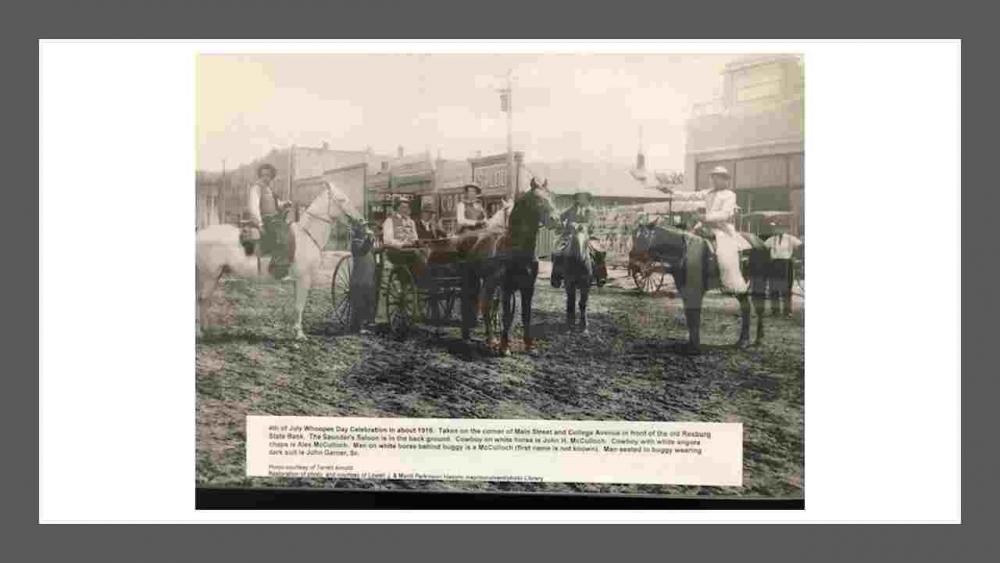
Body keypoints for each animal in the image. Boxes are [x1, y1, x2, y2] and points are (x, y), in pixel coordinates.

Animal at [195, 182, 364, 340]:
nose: (361, 221)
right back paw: (200, 332)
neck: (307, 235)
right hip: (208, 276)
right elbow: (300, 306)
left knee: (205, 300)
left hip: (214, 276)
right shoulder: (304, 279)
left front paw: (295, 331)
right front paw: (300, 334)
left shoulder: (298, 281)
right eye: (342, 199)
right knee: (201, 299)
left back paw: (206, 329)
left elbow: (296, 306)